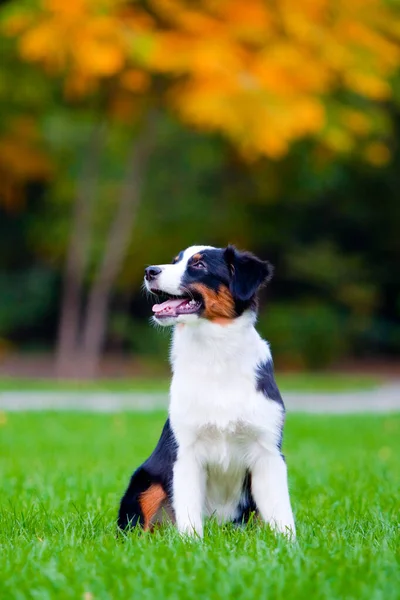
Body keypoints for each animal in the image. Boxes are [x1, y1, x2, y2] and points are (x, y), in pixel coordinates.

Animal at [117, 246, 296, 536]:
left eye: (199, 265)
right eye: (175, 261)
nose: (149, 271)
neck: (215, 355)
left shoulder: (267, 450)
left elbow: (282, 514)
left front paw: (289, 545)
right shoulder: (186, 452)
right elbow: (189, 514)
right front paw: (191, 544)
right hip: (146, 481)